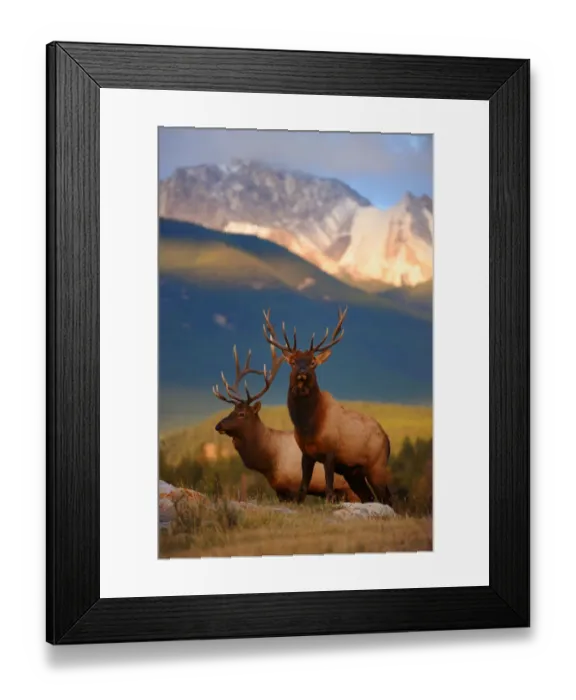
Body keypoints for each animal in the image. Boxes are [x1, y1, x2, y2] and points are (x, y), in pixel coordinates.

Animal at [211, 343, 361, 503]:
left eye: (242, 414)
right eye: (232, 410)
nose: (218, 425)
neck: (269, 461)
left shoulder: (293, 487)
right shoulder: (280, 491)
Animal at [262, 307, 393, 505]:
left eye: (313, 362)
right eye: (293, 362)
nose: (302, 372)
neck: (309, 425)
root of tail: (388, 440)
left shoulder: (331, 452)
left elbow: (329, 490)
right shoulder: (306, 453)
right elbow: (302, 489)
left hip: (377, 466)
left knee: (388, 498)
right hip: (354, 473)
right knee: (369, 497)